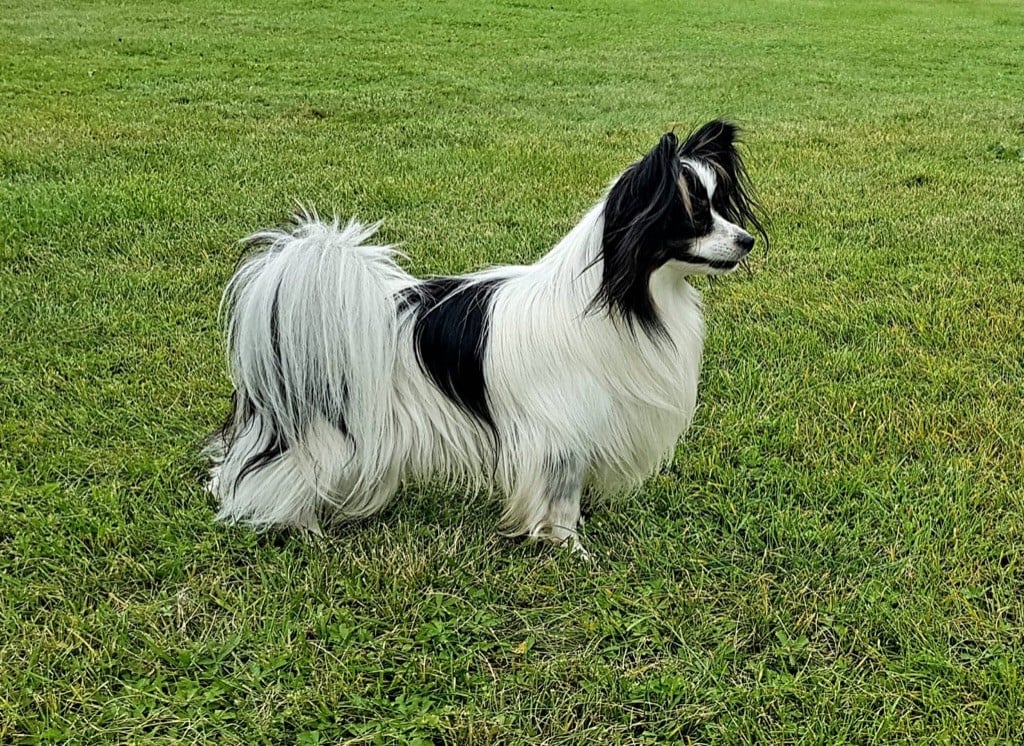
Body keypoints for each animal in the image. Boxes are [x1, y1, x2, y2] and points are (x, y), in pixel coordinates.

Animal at [206, 120, 765, 554]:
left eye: (722, 207)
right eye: (695, 216)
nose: (747, 240)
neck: (626, 298)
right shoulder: (562, 434)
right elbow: (561, 500)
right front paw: (569, 548)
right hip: (323, 435)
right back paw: (300, 528)